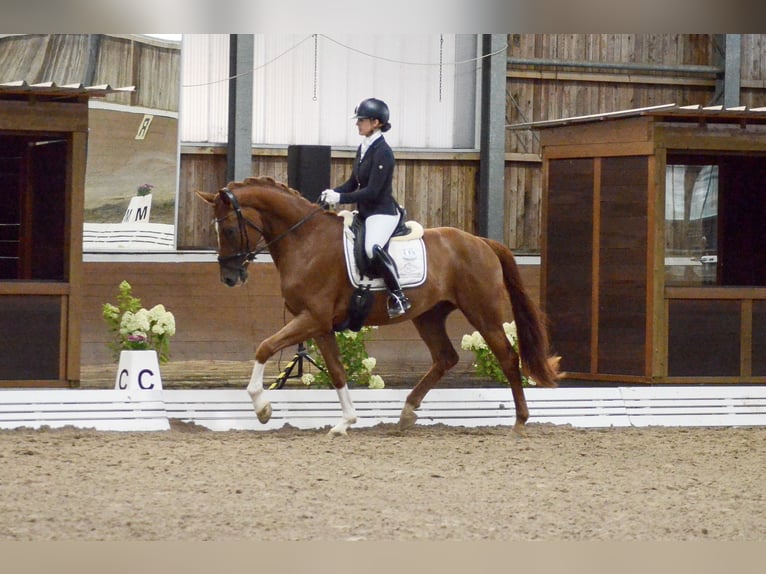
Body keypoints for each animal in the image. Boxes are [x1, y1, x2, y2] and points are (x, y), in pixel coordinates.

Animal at [198, 176, 560, 436]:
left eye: (228, 228)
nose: (229, 277)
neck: (306, 241)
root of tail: (482, 242)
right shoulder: (319, 324)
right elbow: (337, 370)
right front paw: (345, 422)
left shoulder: (312, 318)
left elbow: (263, 347)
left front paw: (262, 407)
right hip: (428, 315)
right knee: (446, 357)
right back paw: (408, 411)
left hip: (482, 311)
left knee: (508, 357)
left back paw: (520, 421)